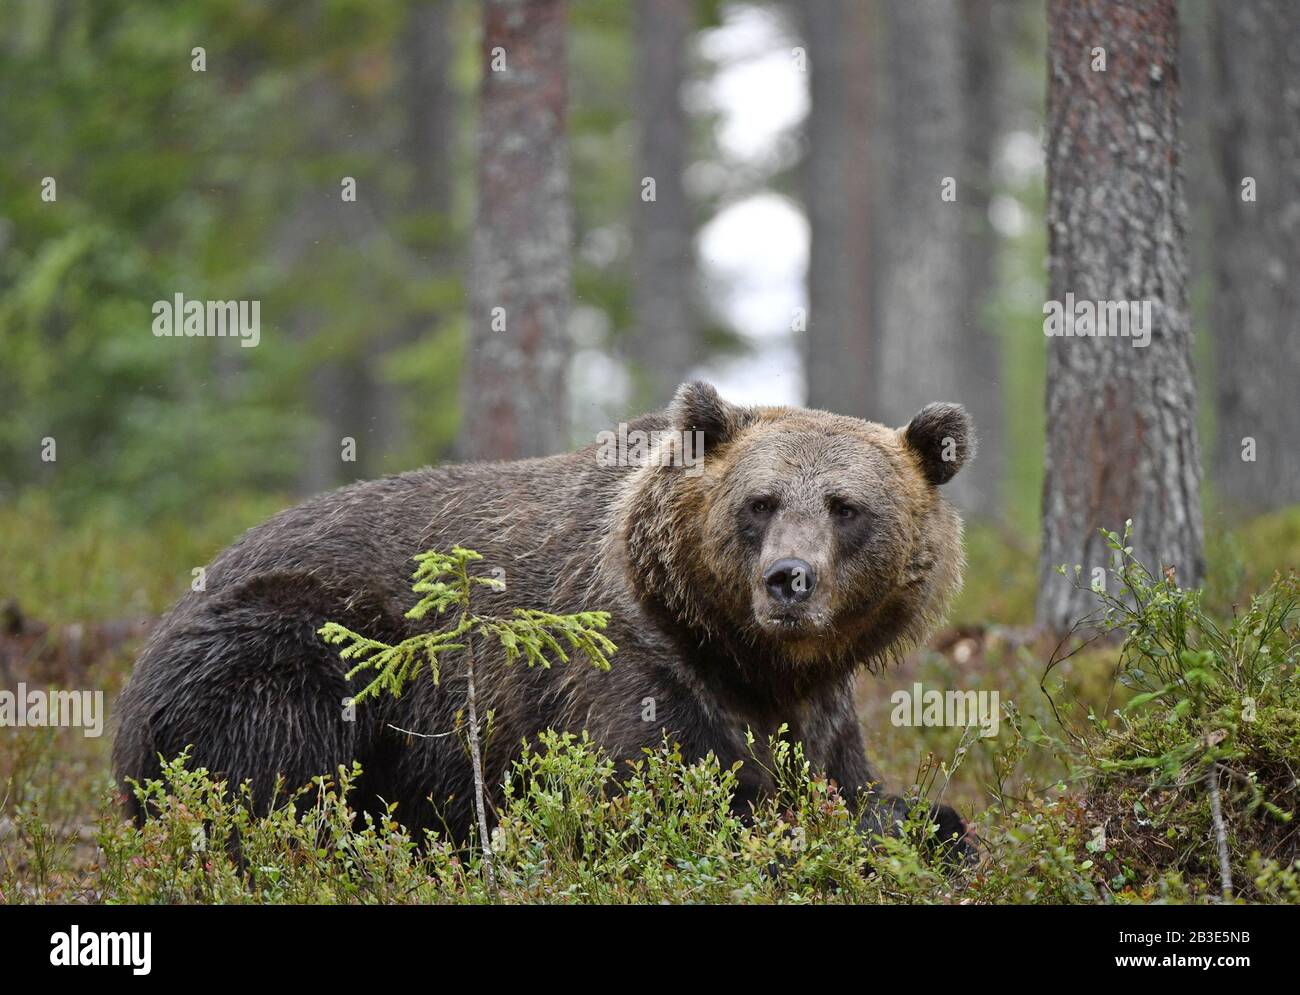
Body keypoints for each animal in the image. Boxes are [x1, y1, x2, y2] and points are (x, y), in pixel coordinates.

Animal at [112, 382, 974, 849]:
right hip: (290, 636)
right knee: (273, 747)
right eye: (759, 502)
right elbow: (666, 801)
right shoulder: (625, 676)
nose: (788, 580)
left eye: (845, 506)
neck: (739, 657)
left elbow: (854, 786)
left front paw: (929, 822)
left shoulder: (817, 711)